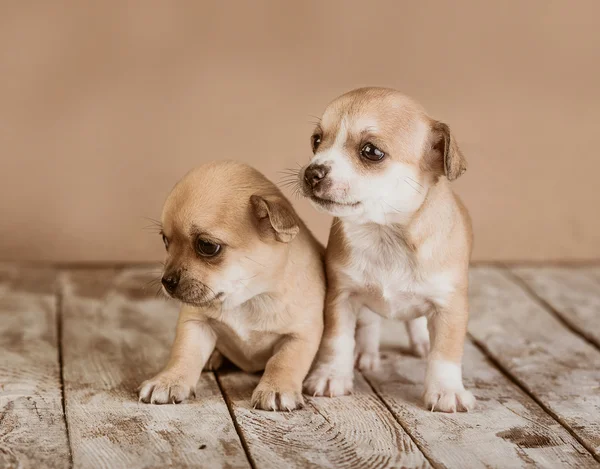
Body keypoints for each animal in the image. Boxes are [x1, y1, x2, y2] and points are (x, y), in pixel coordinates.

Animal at [139, 161, 326, 410]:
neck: (248, 298)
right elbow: (184, 353)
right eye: (165, 241)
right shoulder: (195, 324)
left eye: (207, 246)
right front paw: (169, 380)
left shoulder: (300, 336)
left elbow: (283, 361)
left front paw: (276, 388)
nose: (166, 281)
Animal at [298, 87, 476, 410]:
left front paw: (446, 391)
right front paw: (331, 375)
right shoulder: (341, 297)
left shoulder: (450, 306)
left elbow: (445, 353)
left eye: (371, 152)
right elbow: (337, 340)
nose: (311, 172)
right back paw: (364, 351)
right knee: (370, 322)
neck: (384, 234)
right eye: (316, 140)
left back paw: (421, 341)